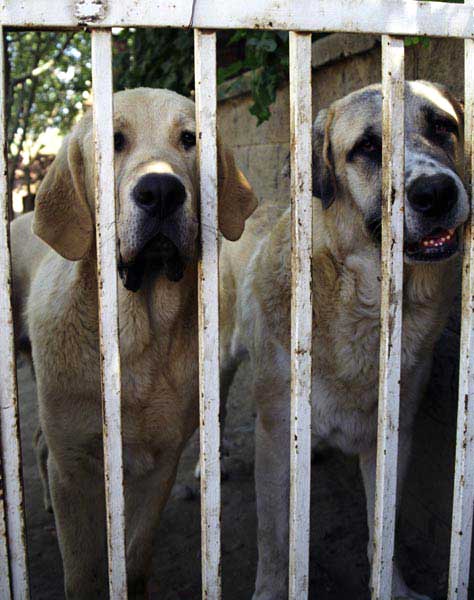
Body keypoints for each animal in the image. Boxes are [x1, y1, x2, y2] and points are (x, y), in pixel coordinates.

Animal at [10, 88, 256, 600]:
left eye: (189, 139)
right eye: (113, 141)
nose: (161, 192)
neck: (139, 336)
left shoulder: (161, 463)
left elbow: (136, 557)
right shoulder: (75, 469)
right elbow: (82, 572)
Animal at [220, 81, 468, 600]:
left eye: (442, 126)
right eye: (368, 147)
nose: (435, 192)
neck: (363, 303)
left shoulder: (394, 438)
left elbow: (383, 530)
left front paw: (394, 588)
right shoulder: (273, 437)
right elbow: (274, 541)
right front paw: (271, 589)